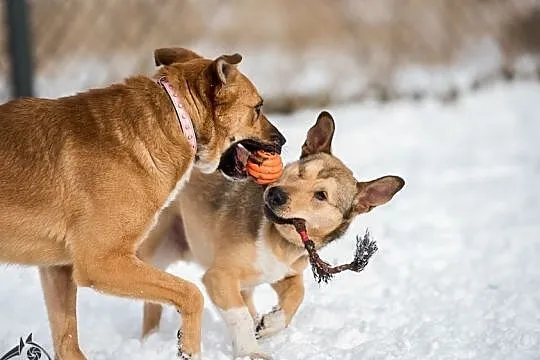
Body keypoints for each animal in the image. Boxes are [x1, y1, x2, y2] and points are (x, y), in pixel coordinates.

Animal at [0, 47, 284, 360]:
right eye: (257, 108)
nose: (282, 141)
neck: (178, 116)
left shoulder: (58, 270)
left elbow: (67, 341)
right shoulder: (101, 262)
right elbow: (191, 294)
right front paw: (188, 348)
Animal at [137, 111, 402, 358]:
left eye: (321, 196)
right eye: (300, 171)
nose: (276, 194)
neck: (277, 239)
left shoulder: (282, 273)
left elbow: (297, 293)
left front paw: (271, 323)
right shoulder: (219, 276)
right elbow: (240, 315)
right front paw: (250, 352)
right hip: (158, 246)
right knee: (152, 300)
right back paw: (149, 340)